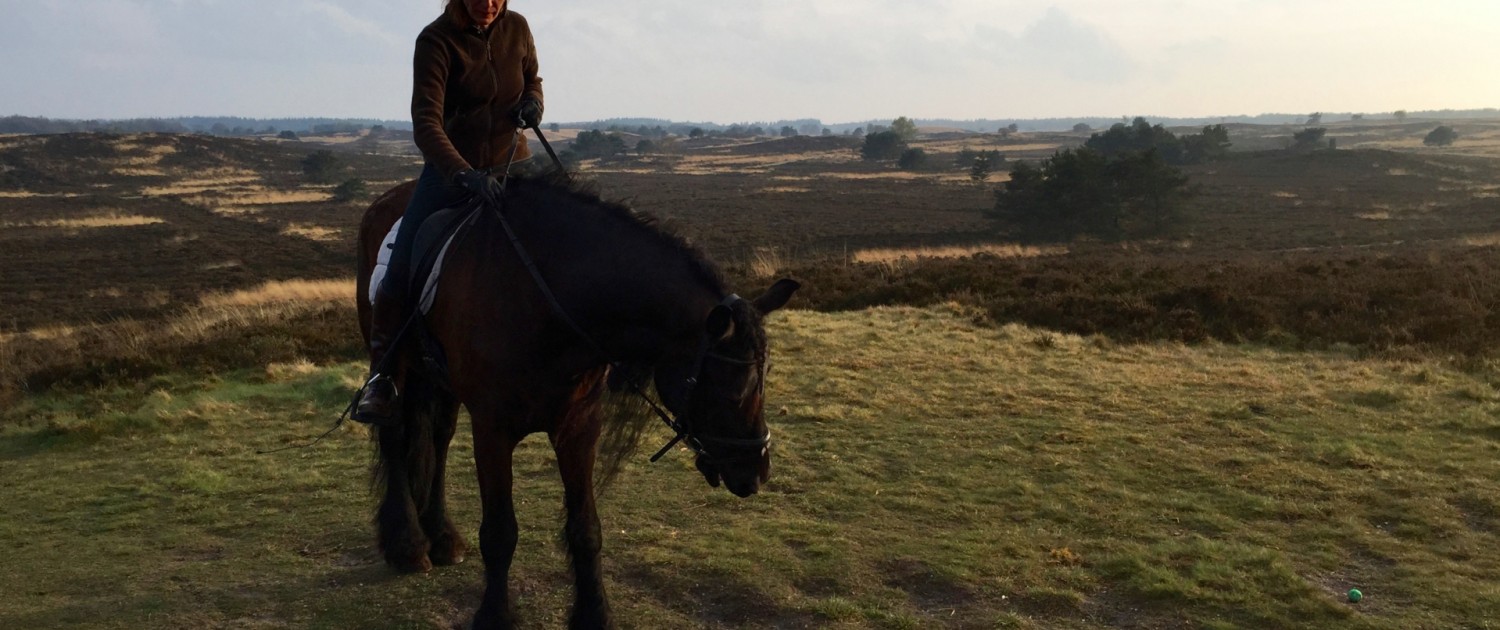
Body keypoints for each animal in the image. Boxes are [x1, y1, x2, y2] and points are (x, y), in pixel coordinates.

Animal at [354, 173, 798, 630]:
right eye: (734, 388)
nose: (757, 472)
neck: (546, 299)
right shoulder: (493, 431)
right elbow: (499, 533)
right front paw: (494, 615)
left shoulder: (579, 427)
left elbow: (586, 529)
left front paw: (593, 613)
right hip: (396, 363)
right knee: (393, 433)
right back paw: (406, 543)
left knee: (438, 440)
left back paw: (441, 536)